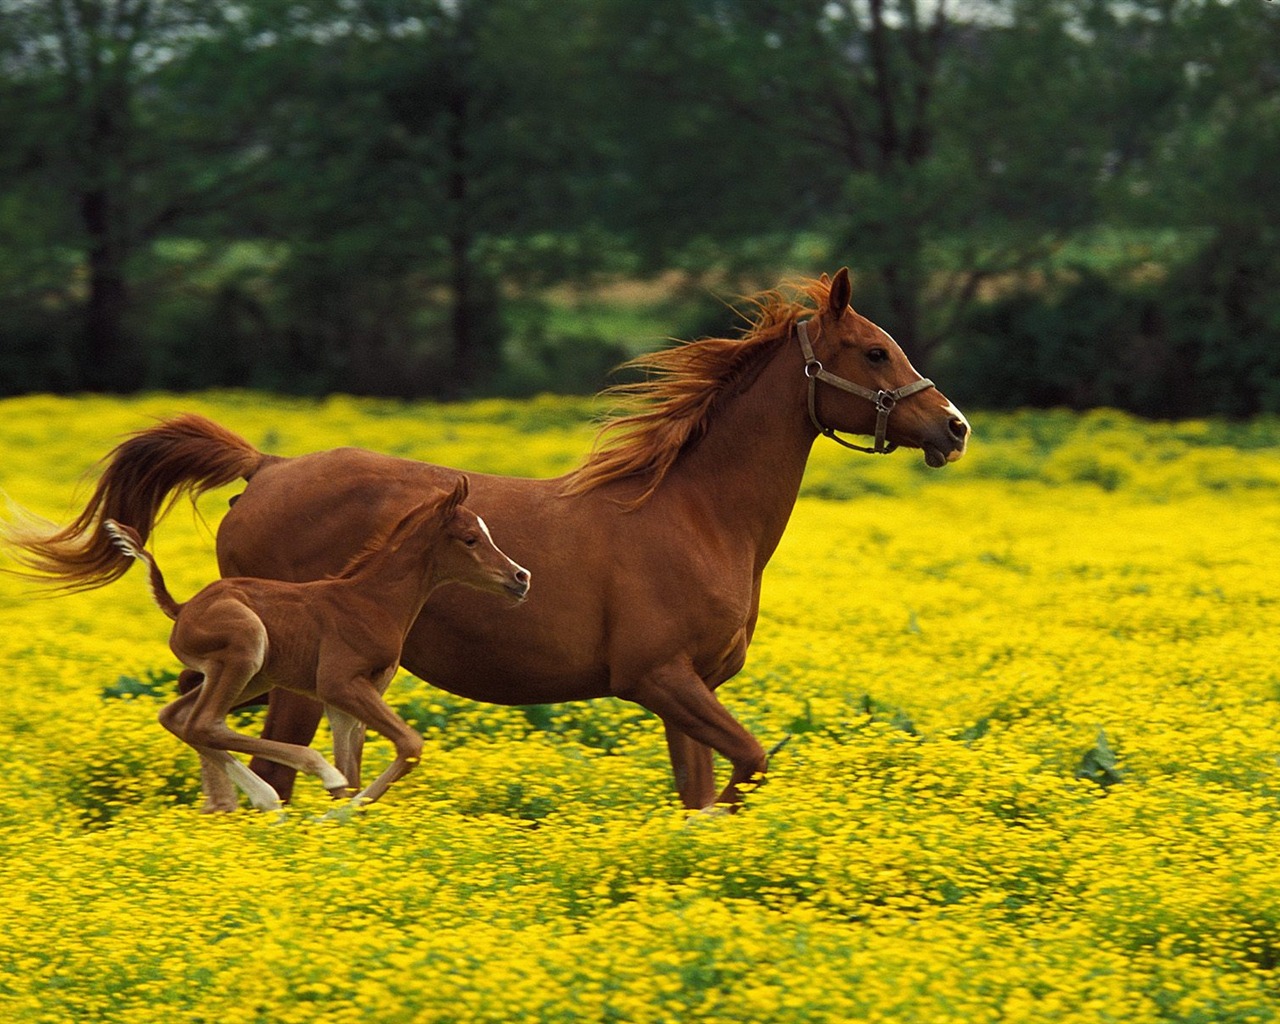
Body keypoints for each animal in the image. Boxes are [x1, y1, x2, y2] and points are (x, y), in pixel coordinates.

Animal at [104, 476, 529, 814]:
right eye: (471, 539)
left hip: (253, 676)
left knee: (178, 718)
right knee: (204, 722)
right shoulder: (338, 683)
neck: (372, 601)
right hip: (246, 646)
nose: (520, 577)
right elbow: (409, 744)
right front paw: (337, 813)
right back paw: (305, 778)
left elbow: (355, 769)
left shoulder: (350, 696)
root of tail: (182, 608)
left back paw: (263, 799)